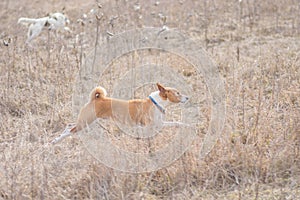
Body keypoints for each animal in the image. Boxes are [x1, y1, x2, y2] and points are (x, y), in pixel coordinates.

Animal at [50, 83, 189, 144]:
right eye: (178, 93)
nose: (187, 97)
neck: (155, 103)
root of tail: (96, 99)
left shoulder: (158, 124)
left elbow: (176, 123)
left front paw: (185, 125)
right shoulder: (149, 126)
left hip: (86, 121)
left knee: (69, 125)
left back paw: (56, 140)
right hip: (85, 122)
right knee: (70, 130)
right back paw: (57, 140)